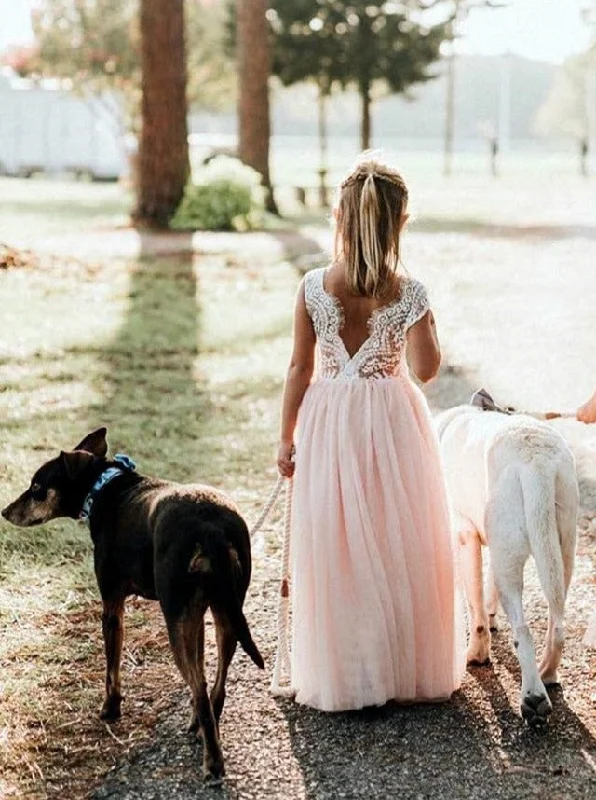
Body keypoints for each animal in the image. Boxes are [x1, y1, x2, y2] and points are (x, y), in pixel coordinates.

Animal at [1, 428, 264, 780]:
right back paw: (201, 728)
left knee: (198, 686)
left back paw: (213, 762)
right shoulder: (194, 615)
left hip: (176, 619)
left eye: (36, 489)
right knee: (215, 684)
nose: (5, 511)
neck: (103, 488)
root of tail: (211, 530)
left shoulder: (112, 607)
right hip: (225, 613)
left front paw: (110, 709)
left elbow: (111, 667)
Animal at [436, 396, 576, 728]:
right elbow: (486, 593)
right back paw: (547, 673)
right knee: (557, 625)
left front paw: (477, 653)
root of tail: (536, 462)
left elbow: (474, 606)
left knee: (523, 631)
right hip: (562, 550)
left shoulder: (466, 536)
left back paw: (533, 699)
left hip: (511, 562)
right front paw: (490, 616)